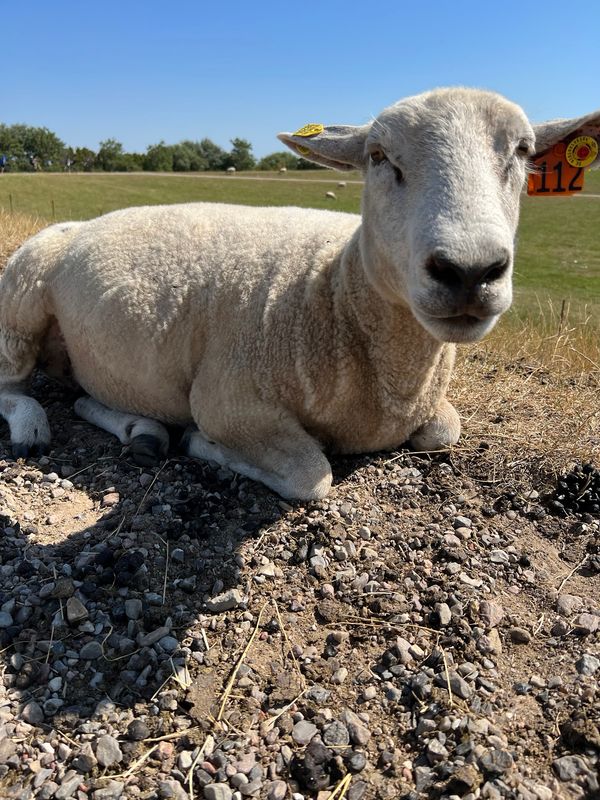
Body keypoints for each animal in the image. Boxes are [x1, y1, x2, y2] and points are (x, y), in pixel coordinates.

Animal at [0, 89, 596, 500]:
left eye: (523, 151)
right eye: (378, 156)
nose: (470, 271)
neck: (335, 290)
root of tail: (80, 224)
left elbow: (445, 430)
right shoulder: (228, 400)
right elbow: (313, 475)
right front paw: (202, 444)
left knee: (83, 394)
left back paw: (140, 428)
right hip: (19, 304)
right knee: (11, 386)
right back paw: (37, 428)